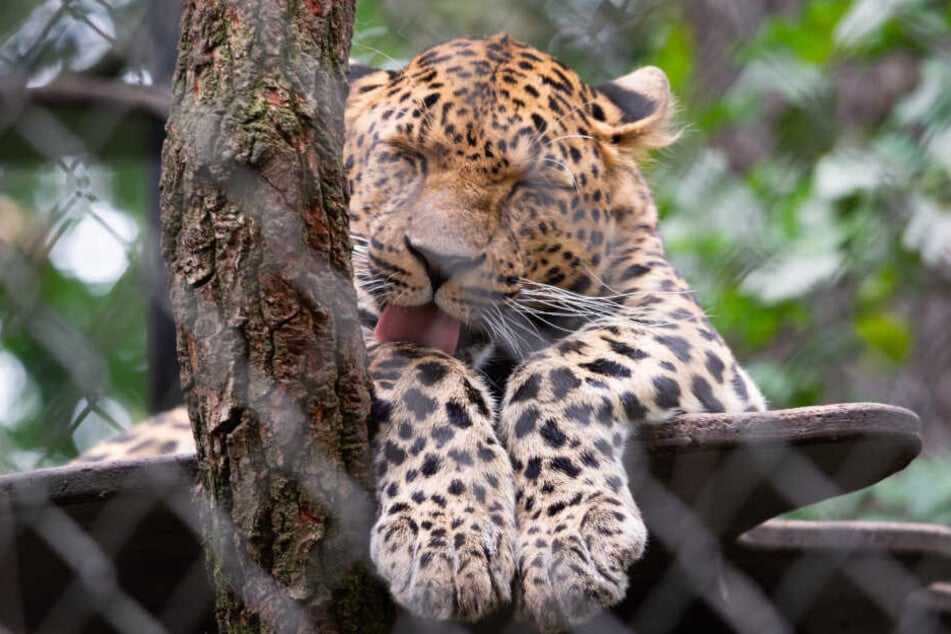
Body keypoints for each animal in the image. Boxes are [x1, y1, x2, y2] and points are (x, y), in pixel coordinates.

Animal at [76, 34, 768, 628]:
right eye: (408, 158)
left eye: (528, 186)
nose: (439, 261)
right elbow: (420, 370)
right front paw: (450, 540)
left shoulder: (681, 329)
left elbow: (560, 371)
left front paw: (569, 539)